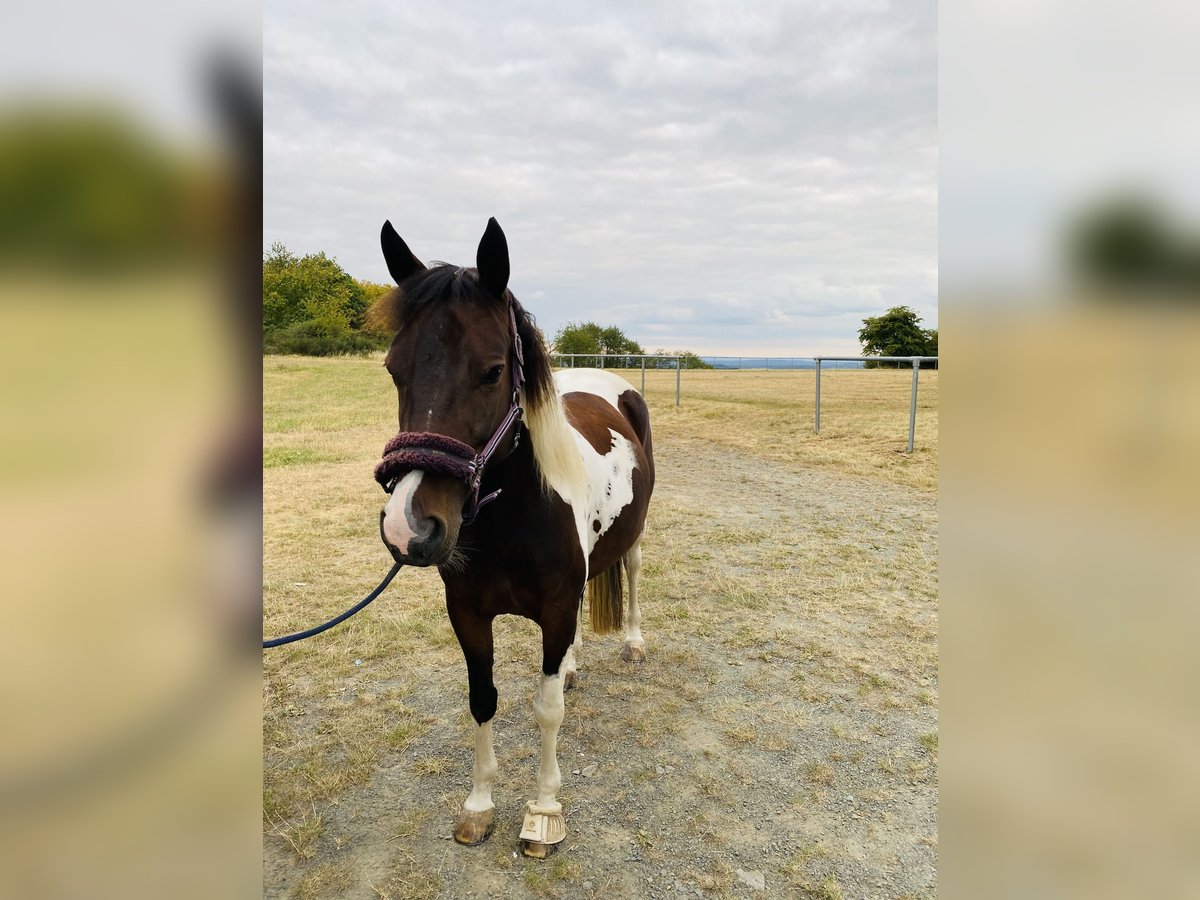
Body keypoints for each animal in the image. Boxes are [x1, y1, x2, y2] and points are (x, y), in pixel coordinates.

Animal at [369, 217, 655, 858]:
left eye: (493, 370)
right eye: (394, 369)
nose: (409, 526)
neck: (512, 522)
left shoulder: (554, 609)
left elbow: (546, 710)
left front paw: (543, 813)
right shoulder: (468, 614)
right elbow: (483, 699)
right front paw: (478, 807)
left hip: (633, 538)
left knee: (629, 572)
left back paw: (632, 642)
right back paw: (571, 664)